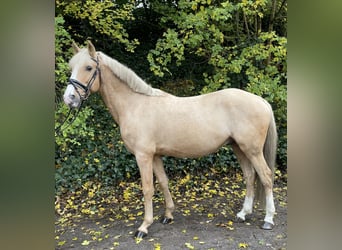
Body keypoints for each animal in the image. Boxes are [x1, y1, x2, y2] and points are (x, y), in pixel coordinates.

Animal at [63, 41, 278, 238]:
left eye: (88, 67)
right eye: (71, 67)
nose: (69, 98)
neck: (135, 105)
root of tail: (262, 101)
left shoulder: (143, 156)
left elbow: (148, 188)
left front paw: (144, 227)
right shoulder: (155, 155)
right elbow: (163, 182)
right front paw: (168, 215)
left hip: (252, 150)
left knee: (266, 176)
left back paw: (268, 219)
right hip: (239, 148)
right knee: (250, 176)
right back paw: (243, 214)